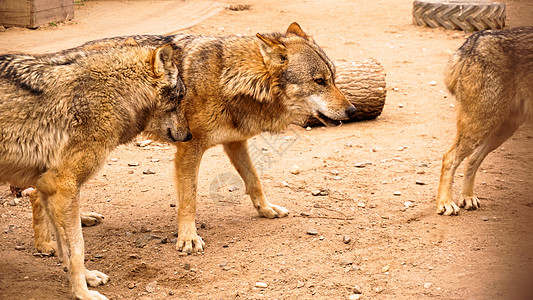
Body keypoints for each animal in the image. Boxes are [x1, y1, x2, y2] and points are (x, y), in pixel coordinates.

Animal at [0, 42, 190, 300]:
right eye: (179, 99)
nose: (189, 135)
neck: (117, 93)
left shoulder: (48, 187)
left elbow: (67, 248)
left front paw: (87, 278)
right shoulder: (64, 187)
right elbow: (77, 247)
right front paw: (83, 293)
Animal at [434, 26, 528, 216]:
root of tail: (475, 39)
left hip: (500, 130)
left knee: (472, 159)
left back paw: (467, 197)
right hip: (482, 125)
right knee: (449, 157)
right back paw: (445, 203)